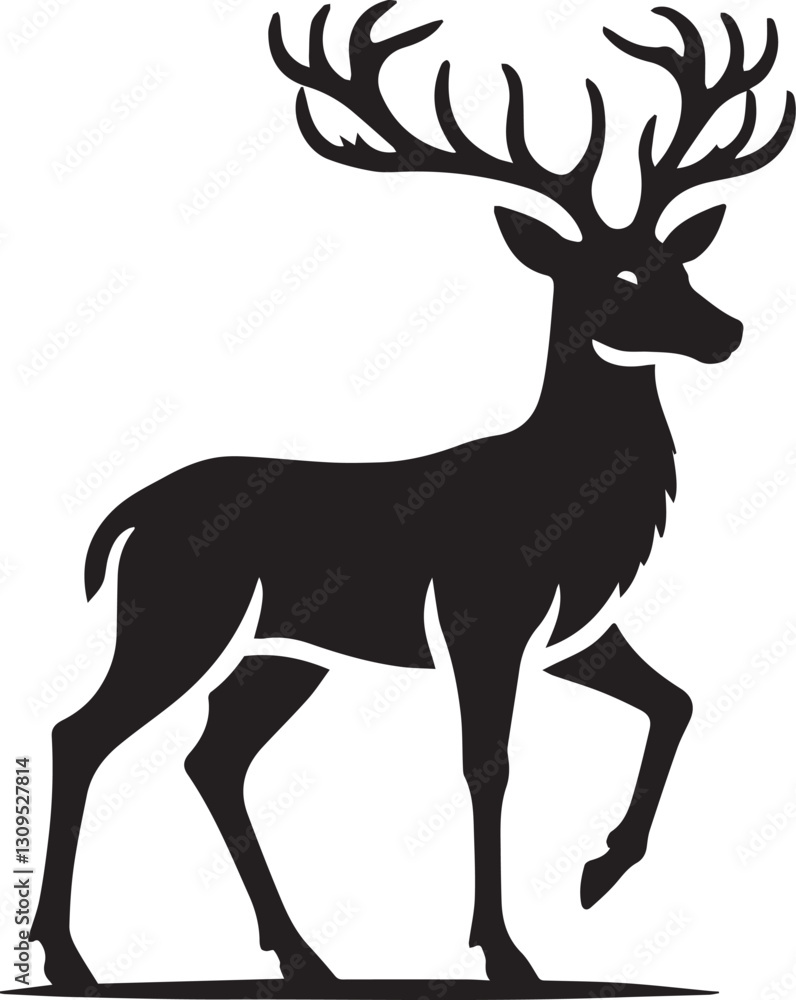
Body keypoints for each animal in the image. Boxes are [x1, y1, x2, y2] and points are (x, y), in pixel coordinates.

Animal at [30, 2, 794, 991]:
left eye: (682, 264)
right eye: (619, 276)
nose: (730, 330)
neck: (563, 499)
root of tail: (129, 515)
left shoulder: (578, 628)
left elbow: (677, 702)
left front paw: (600, 872)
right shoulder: (482, 615)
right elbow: (487, 764)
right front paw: (506, 952)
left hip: (285, 650)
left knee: (212, 756)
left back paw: (303, 956)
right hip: (180, 618)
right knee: (82, 733)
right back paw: (69, 956)